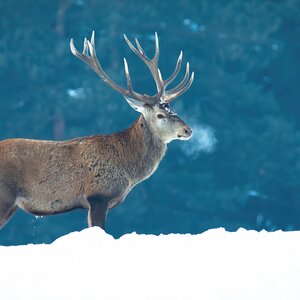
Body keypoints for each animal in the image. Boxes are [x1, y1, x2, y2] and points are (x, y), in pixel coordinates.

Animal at [0, 31, 193, 231]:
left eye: (173, 109)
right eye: (160, 115)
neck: (129, 170)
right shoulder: (98, 195)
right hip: (4, 195)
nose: (188, 130)